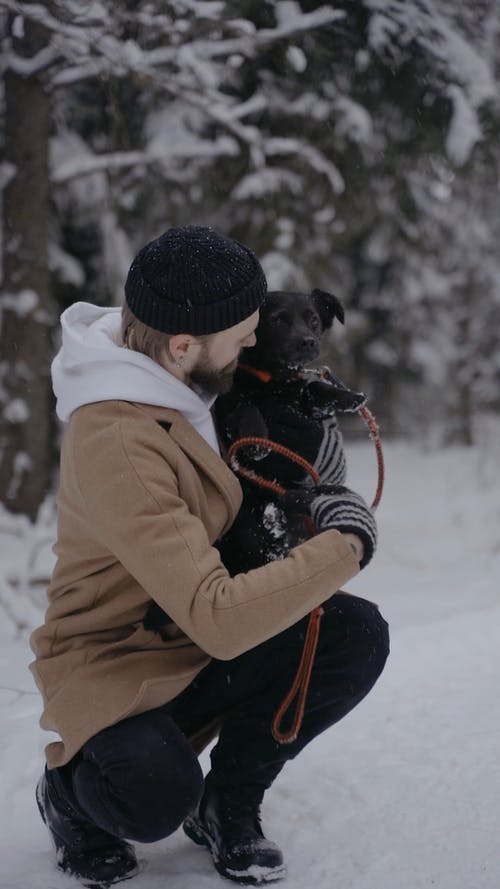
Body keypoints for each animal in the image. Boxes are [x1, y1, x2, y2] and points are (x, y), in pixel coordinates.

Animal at [213, 288, 374, 572]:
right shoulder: (228, 409)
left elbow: (314, 388)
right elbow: (246, 407)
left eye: (313, 321)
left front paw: (348, 396)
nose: (308, 341)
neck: (275, 382)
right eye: (278, 320)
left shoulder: (301, 399)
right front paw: (257, 441)